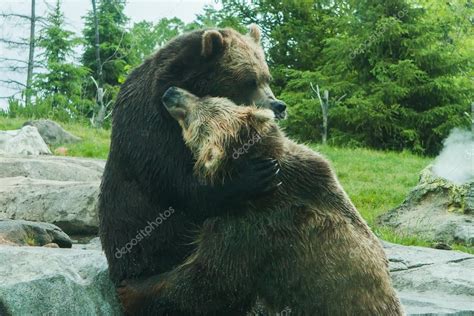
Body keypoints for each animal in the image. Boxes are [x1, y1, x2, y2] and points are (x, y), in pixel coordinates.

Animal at [98, 24, 286, 314]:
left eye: (267, 77)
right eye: (249, 80)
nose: (278, 105)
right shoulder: (151, 127)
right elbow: (179, 184)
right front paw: (256, 174)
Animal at [118, 87, 404, 316]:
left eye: (190, 118)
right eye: (206, 95)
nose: (171, 92)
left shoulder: (255, 228)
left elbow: (212, 280)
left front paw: (132, 288)